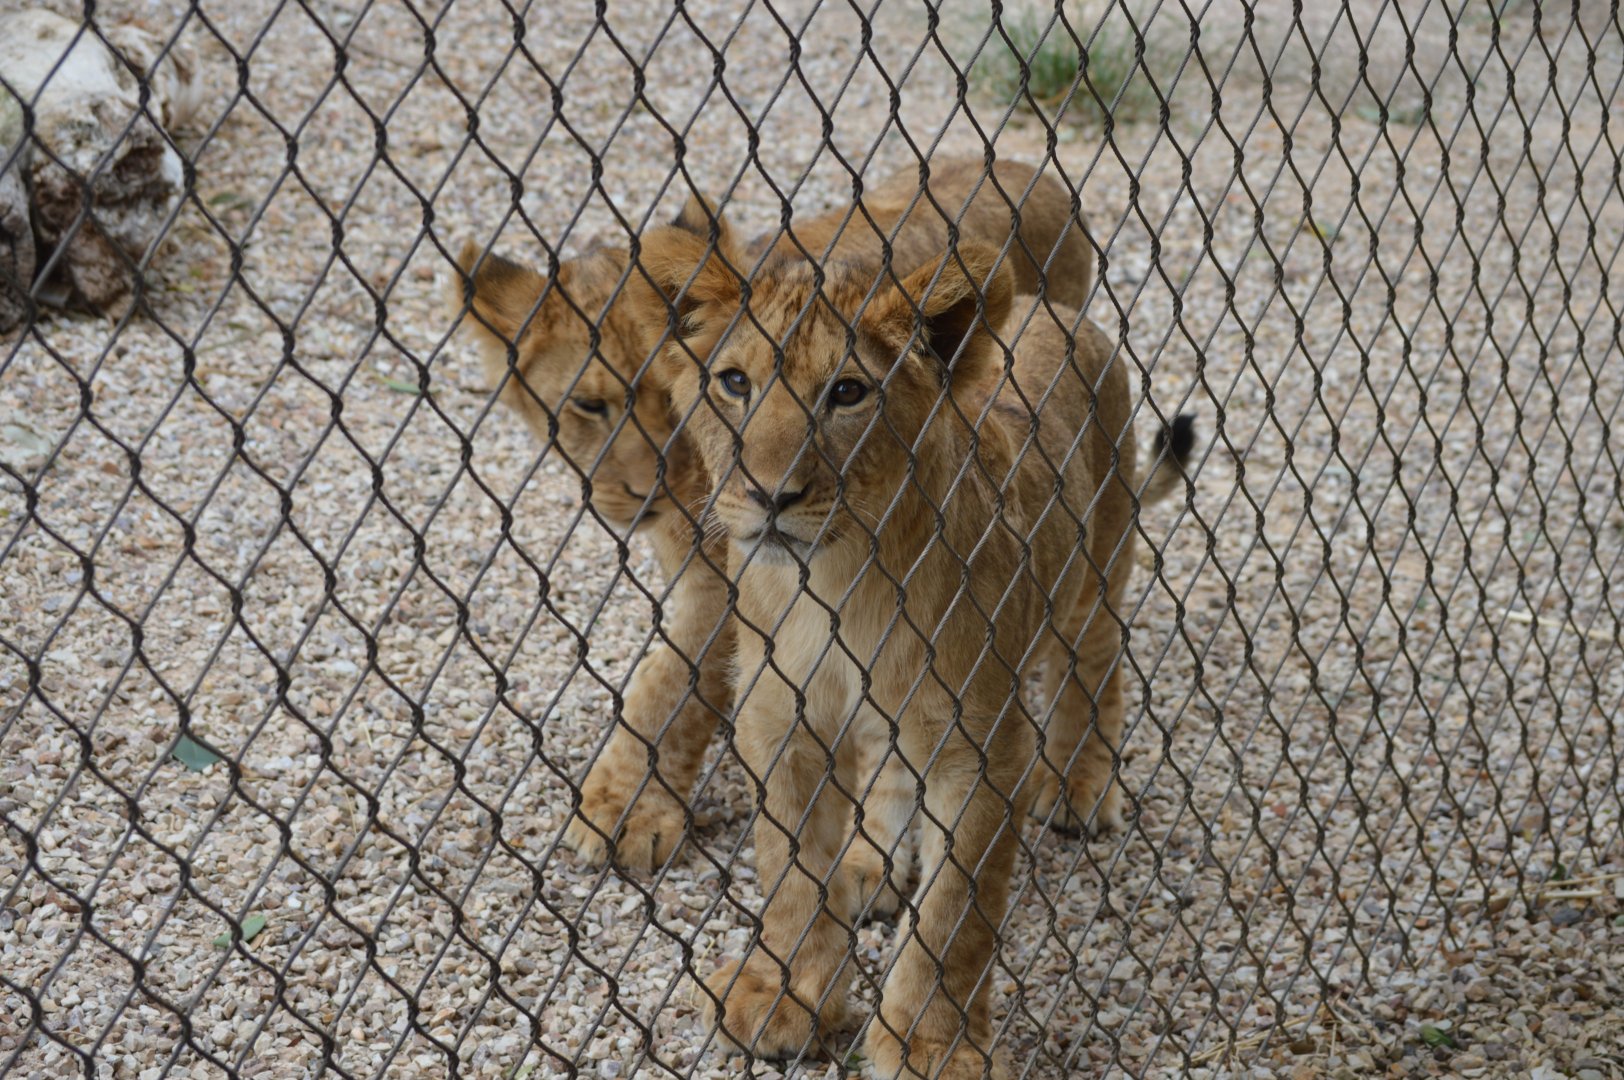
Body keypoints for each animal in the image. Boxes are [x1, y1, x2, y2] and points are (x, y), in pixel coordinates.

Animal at [452, 158, 1098, 872]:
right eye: (590, 407)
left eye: (671, 395)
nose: (654, 492)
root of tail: (1029, 169)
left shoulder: (731, 577)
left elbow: (671, 688)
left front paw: (625, 808)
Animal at [636, 220, 1193, 1075]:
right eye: (734, 382)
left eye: (847, 393)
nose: (770, 495)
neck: (837, 585)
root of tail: (1054, 308)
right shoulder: (780, 722)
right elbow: (791, 873)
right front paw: (783, 996)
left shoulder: (982, 750)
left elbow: (953, 916)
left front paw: (935, 1047)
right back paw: (870, 863)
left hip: (1096, 567)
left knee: (1094, 665)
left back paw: (1079, 784)